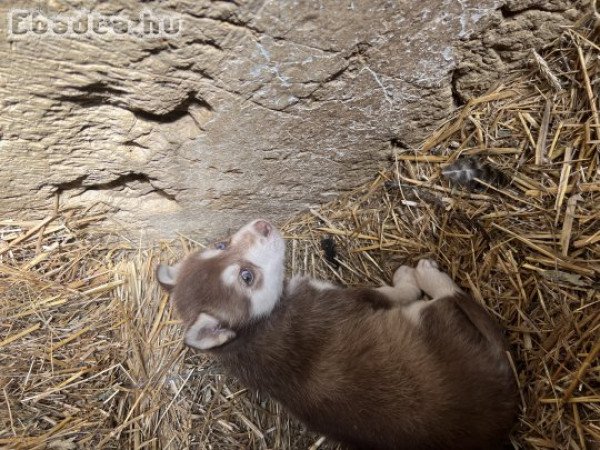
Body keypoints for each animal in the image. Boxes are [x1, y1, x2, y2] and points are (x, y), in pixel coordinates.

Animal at [157, 221, 516, 450]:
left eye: (221, 245)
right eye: (247, 277)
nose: (263, 225)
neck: (259, 326)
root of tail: (504, 411)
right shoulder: (343, 298)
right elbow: (392, 293)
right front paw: (407, 280)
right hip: (436, 319)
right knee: (453, 297)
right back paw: (428, 273)